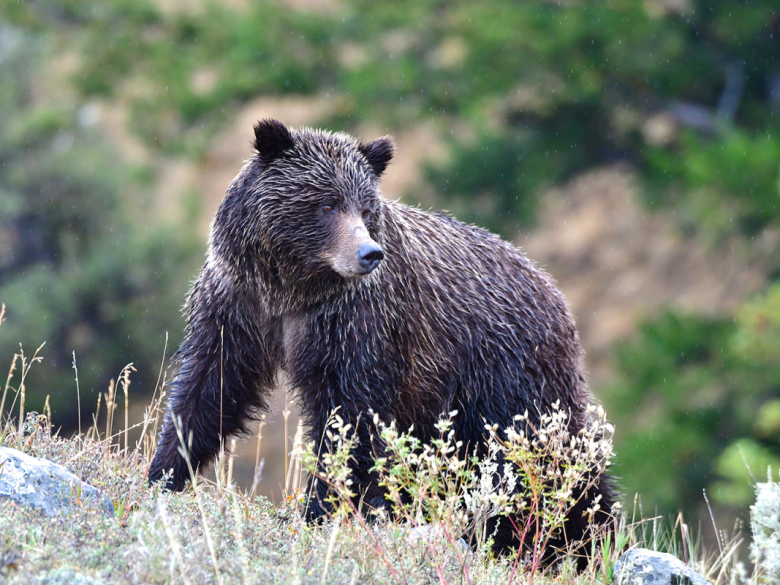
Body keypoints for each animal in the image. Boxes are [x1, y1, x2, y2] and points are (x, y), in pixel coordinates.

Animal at [149, 117, 616, 556]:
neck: (291, 289)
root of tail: (555, 293)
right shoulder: (239, 305)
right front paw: (164, 471)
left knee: (548, 457)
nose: (369, 254)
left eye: (365, 207)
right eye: (327, 203)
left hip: (509, 376)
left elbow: (348, 418)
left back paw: (583, 539)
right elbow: (212, 387)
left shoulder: (357, 325)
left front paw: (319, 509)